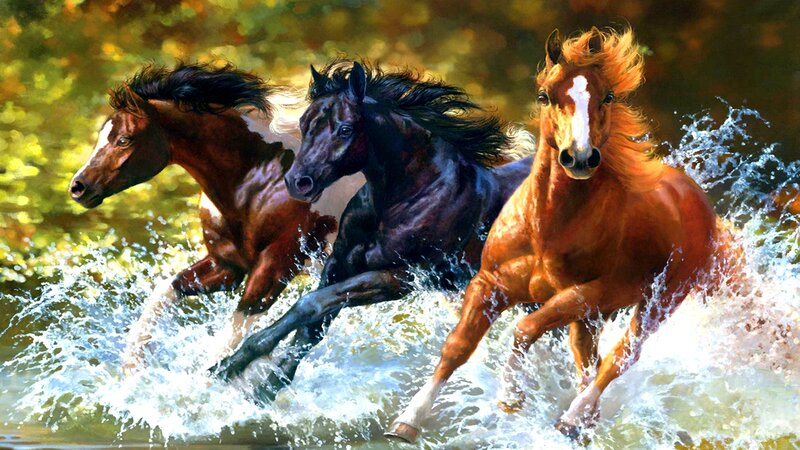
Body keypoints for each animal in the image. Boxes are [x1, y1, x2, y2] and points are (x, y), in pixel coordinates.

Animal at [69, 63, 364, 375]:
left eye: (124, 139)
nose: (78, 187)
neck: (260, 181)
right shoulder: (227, 265)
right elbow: (165, 290)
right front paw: (133, 367)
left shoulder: (274, 267)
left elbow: (228, 339)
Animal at [211, 61, 535, 401]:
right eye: (304, 122)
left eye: (345, 129)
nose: (298, 182)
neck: (409, 196)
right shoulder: (341, 263)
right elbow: (313, 325)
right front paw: (262, 386)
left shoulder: (399, 277)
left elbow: (309, 306)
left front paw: (235, 366)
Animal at [389, 28, 734, 442]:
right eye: (544, 95)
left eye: (608, 96)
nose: (580, 157)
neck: (545, 230)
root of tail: (697, 199)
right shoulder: (489, 284)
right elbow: (457, 346)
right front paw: (408, 420)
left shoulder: (589, 293)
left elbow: (525, 329)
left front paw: (510, 397)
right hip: (592, 317)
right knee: (588, 359)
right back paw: (583, 421)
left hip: (656, 301)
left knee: (620, 357)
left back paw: (572, 418)